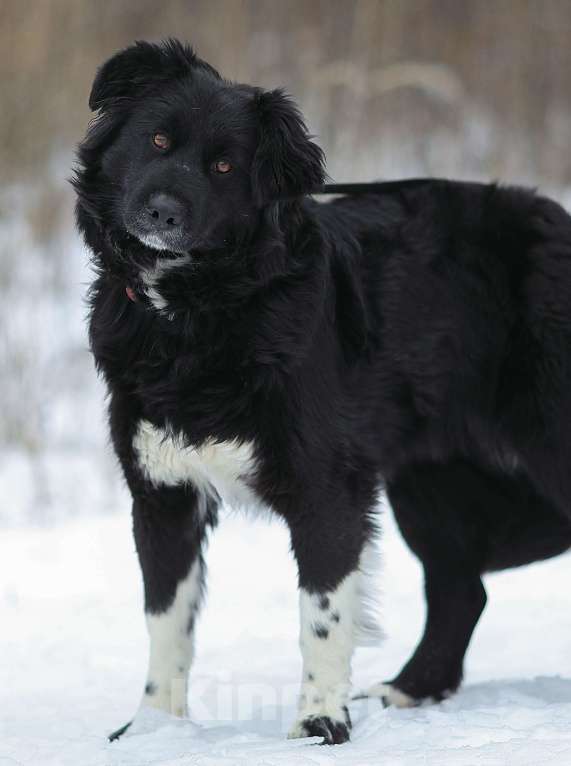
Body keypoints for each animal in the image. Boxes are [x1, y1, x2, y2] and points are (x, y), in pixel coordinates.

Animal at [75, 39, 571, 748]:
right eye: (157, 139)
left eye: (224, 165)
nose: (163, 212)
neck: (198, 312)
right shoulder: (163, 492)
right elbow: (166, 621)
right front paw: (153, 729)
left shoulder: (328, 487)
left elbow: (323, 615)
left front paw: (319, 724)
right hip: (427, 478)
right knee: (460, 590)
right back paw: (410, 689)